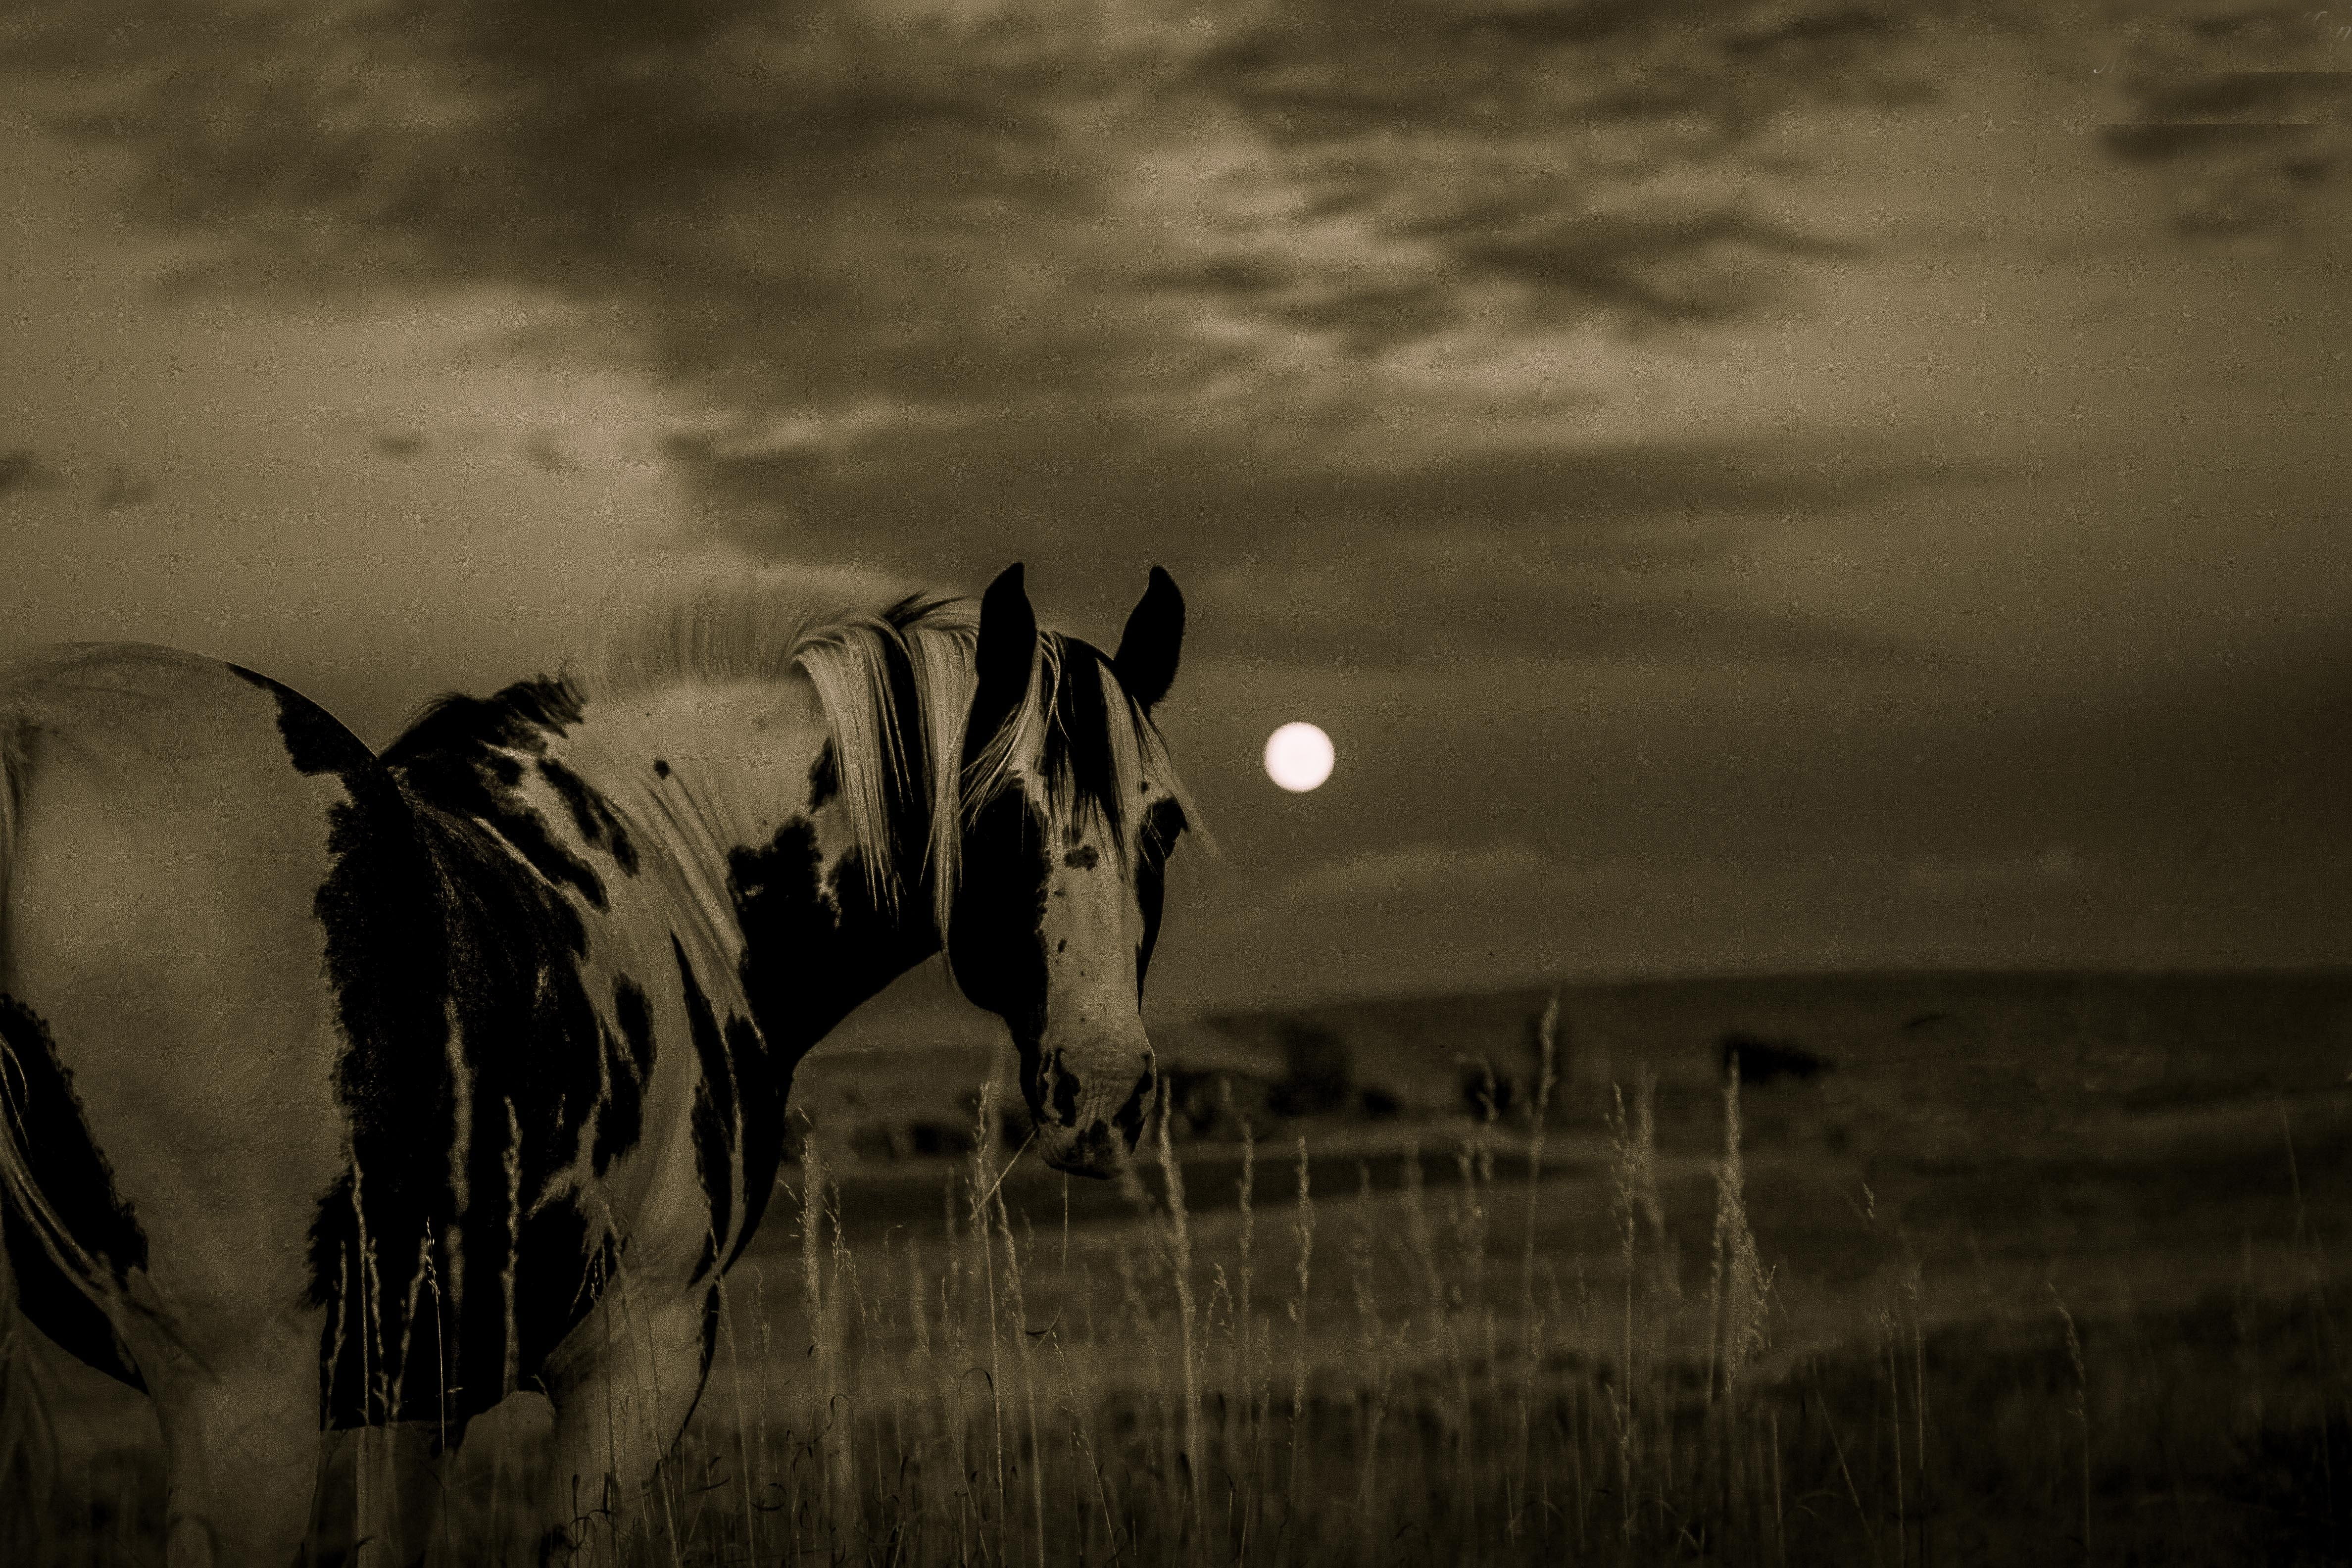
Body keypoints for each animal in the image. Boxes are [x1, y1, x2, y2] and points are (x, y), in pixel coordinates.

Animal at [0, 558, 1194, 1565]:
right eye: (997, 815)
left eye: (1166, 825)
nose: (1104, 1092)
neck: (678, 864)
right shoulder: (641, 1350)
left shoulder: (417, 1379)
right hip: (245, 1398)